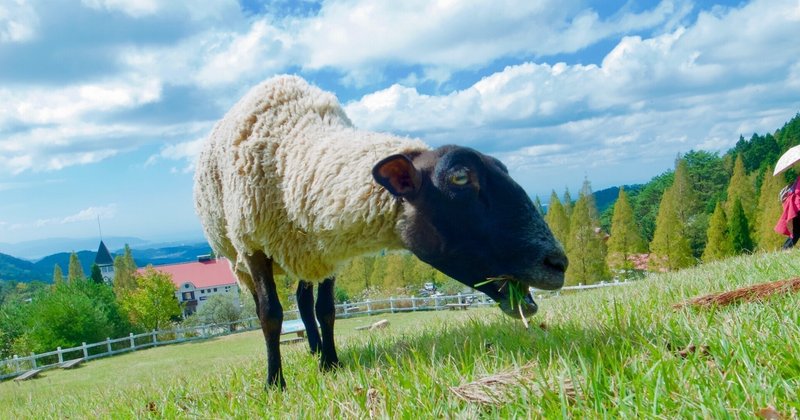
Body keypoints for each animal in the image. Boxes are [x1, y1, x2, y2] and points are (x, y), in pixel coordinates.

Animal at [194, 74, 568, 388]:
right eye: (460, 178)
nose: (558, 264)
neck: (295, 155)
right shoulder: (254, 246)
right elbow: (270, 315)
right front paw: (275, 384)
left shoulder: (328, 249)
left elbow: (326, 310)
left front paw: (331, 364)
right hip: (242, 257)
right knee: (270, 304)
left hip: (304, 253)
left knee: (302, 298)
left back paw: (315, 349)